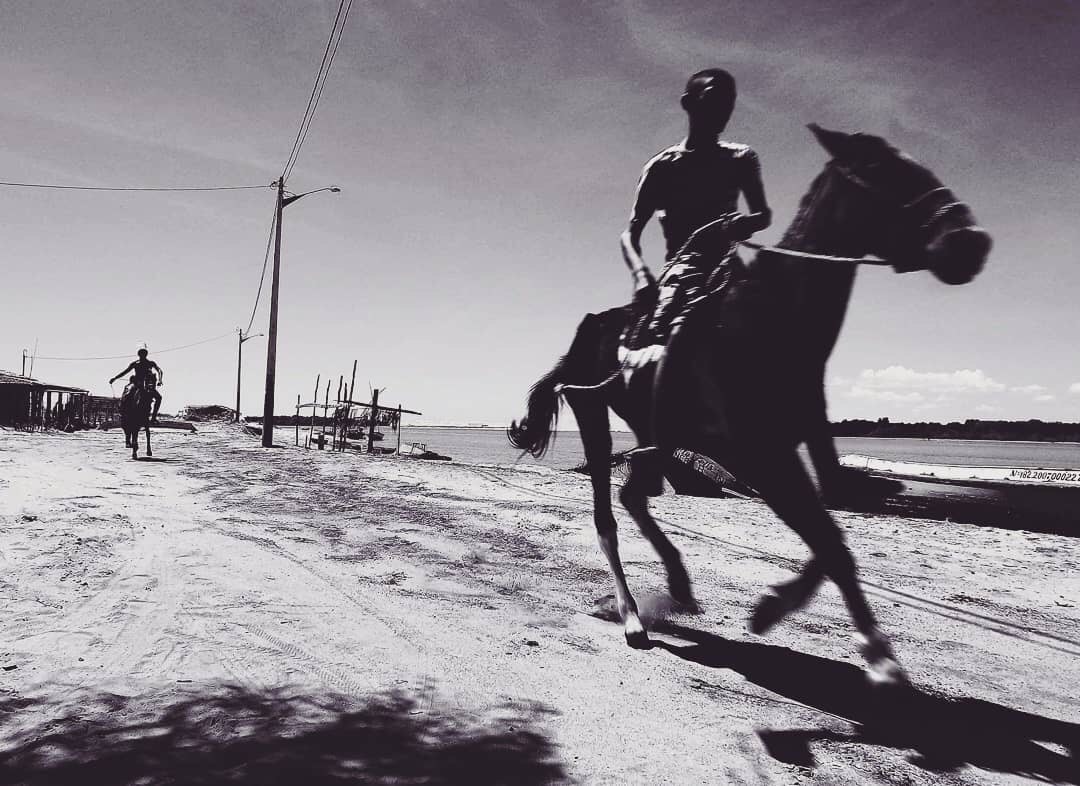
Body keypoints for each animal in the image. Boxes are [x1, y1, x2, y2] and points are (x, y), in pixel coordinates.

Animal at [508, 125, 991, 684]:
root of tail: (592, 324)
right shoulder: (757, 455)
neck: (771, 323)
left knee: (633, 498)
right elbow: (827, 540)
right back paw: (633, 618)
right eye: (886, 171)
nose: (971, 242)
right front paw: (875, 651)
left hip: (655, 434)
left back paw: (677, 588)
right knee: (607, 517)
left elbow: (832, 536)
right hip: (595, 419)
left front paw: (780, 608)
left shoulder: (799, 450)